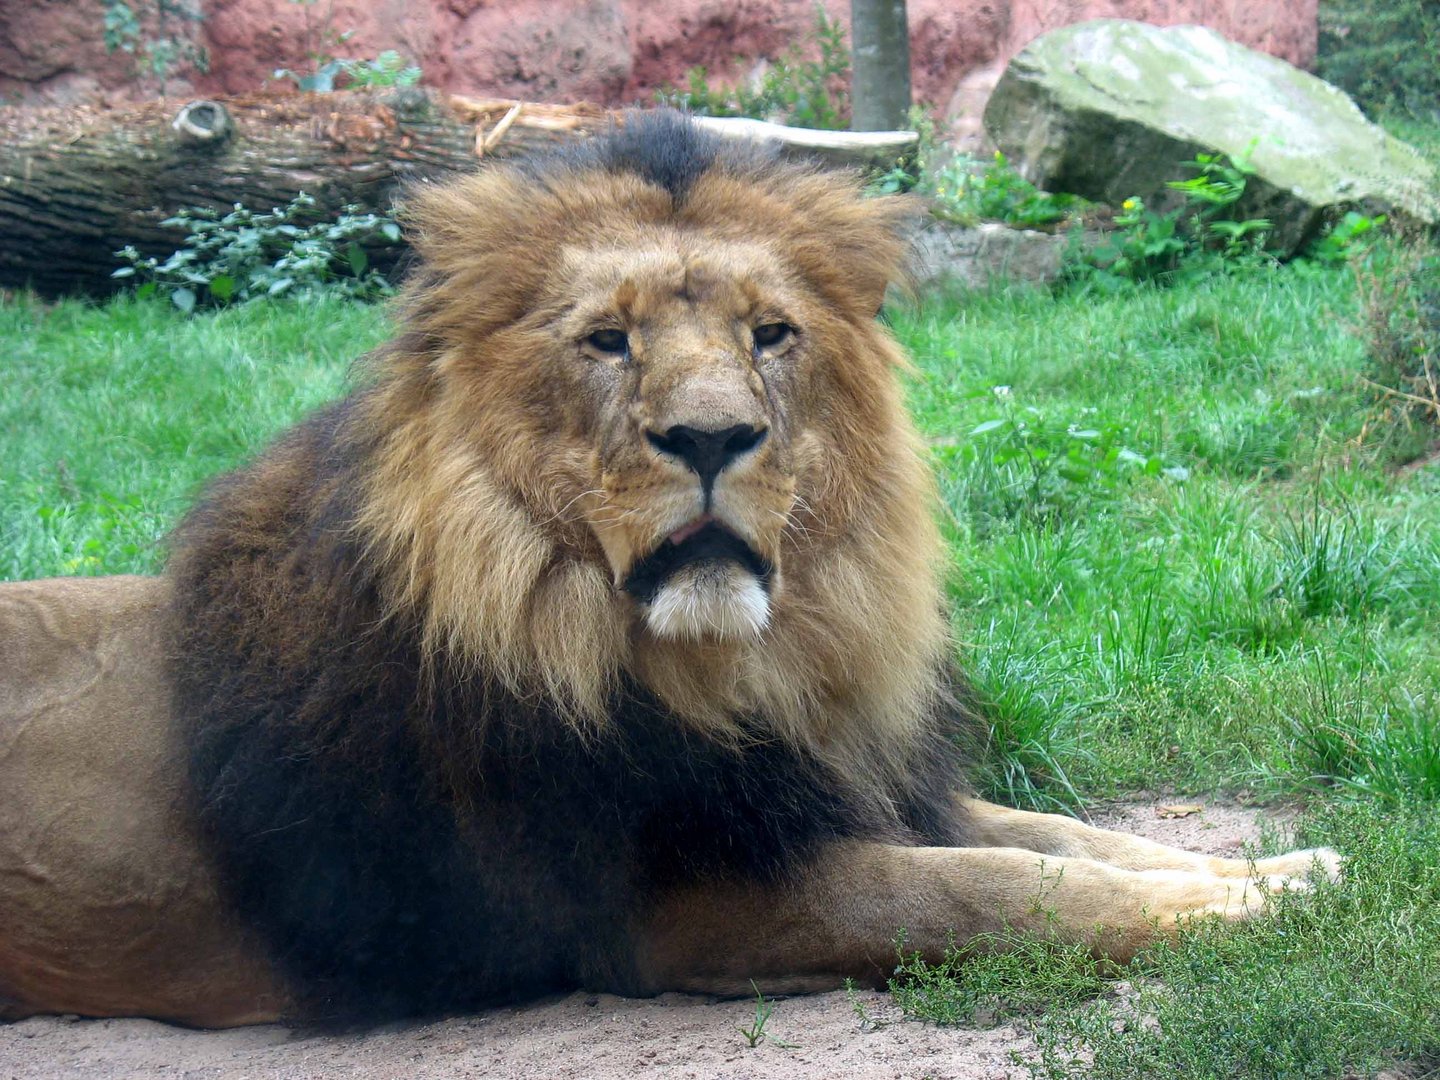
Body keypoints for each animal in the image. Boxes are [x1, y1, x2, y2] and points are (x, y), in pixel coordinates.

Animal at [0, 112, 1336, 1031]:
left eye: (770, 334)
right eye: (608, 340)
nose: (709, 437)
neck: (744, 666)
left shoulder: (846, 787)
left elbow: (1066, 836)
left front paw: (1292, 866)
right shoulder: (689, 908)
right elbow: (995, 892)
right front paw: (1259, 910)